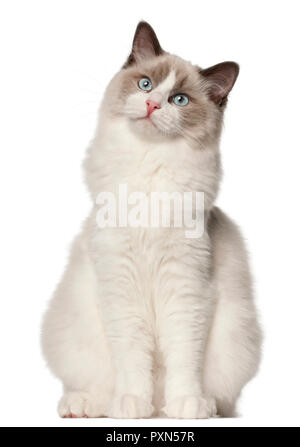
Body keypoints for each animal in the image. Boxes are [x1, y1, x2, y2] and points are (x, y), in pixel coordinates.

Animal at [41, 21, 262, 420]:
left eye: (180, 100)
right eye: (145, 84)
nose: (151, 104)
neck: (149, 167)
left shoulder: (185, 285)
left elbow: (183, 357)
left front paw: (186, 405)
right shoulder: (120, 283)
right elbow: (132, 357)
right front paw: (132, 403)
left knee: (217, 397)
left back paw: (192, 407)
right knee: (96, 387)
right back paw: (87, 405)